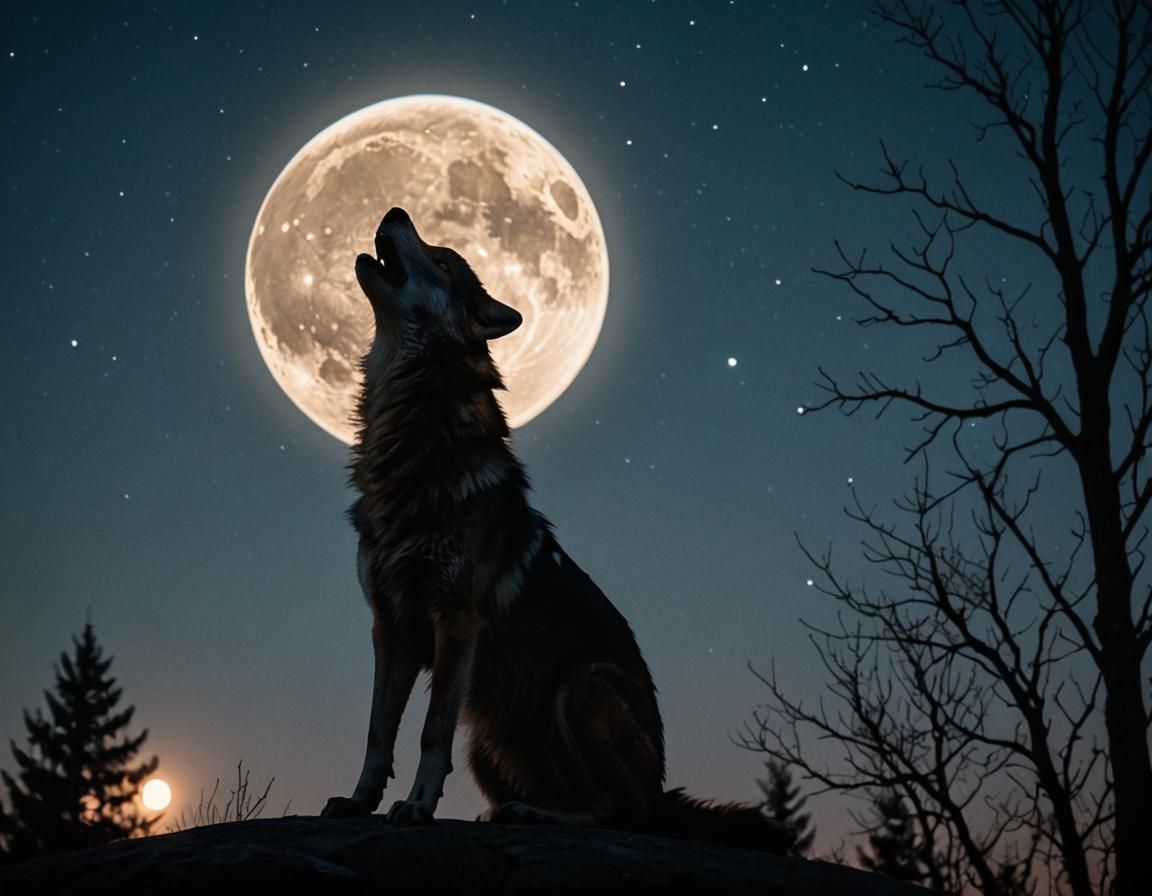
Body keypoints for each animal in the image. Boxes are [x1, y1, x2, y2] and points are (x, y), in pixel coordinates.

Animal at [320, 207, 793, 853]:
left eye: (441, 259)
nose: (394, 210)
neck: (413, 437)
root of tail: (664, 793)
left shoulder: (455, 622)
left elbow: (429, 732)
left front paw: (415, 806)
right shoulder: (390, 626)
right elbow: (377, 733)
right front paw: (359, 802)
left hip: (582, 687)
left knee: (621, 813)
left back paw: (533, 814)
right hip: (487, 741)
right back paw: (515, 811)